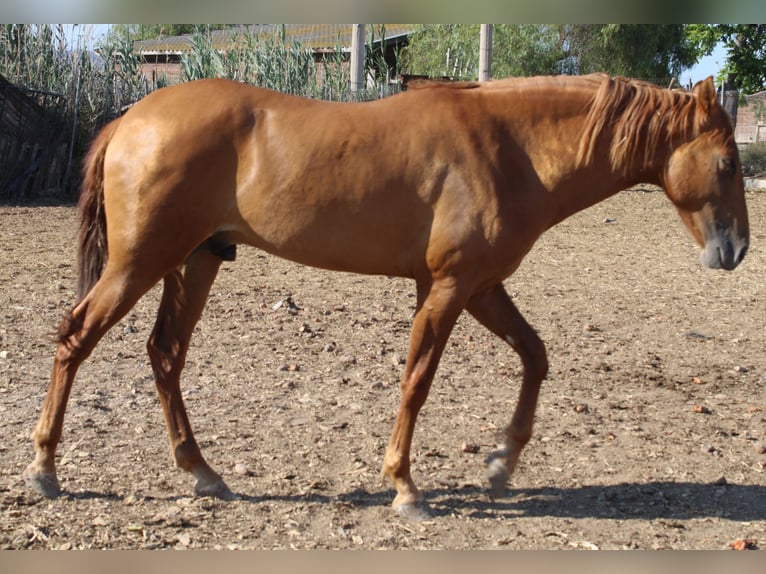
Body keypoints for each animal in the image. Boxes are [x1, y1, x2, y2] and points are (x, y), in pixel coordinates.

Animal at [24, 74, 752, 520]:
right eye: (727, 162)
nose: (737, 250)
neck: (510, 147)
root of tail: (132, 119)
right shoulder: (449, 288)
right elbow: (417, 382)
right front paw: (405, 486)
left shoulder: (480, 287)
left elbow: (536, 356)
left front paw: (500, 463)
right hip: (140, 262)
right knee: (76, 338)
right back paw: (45, 468)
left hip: (196, 261)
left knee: (165, 354)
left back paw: (202, 472)